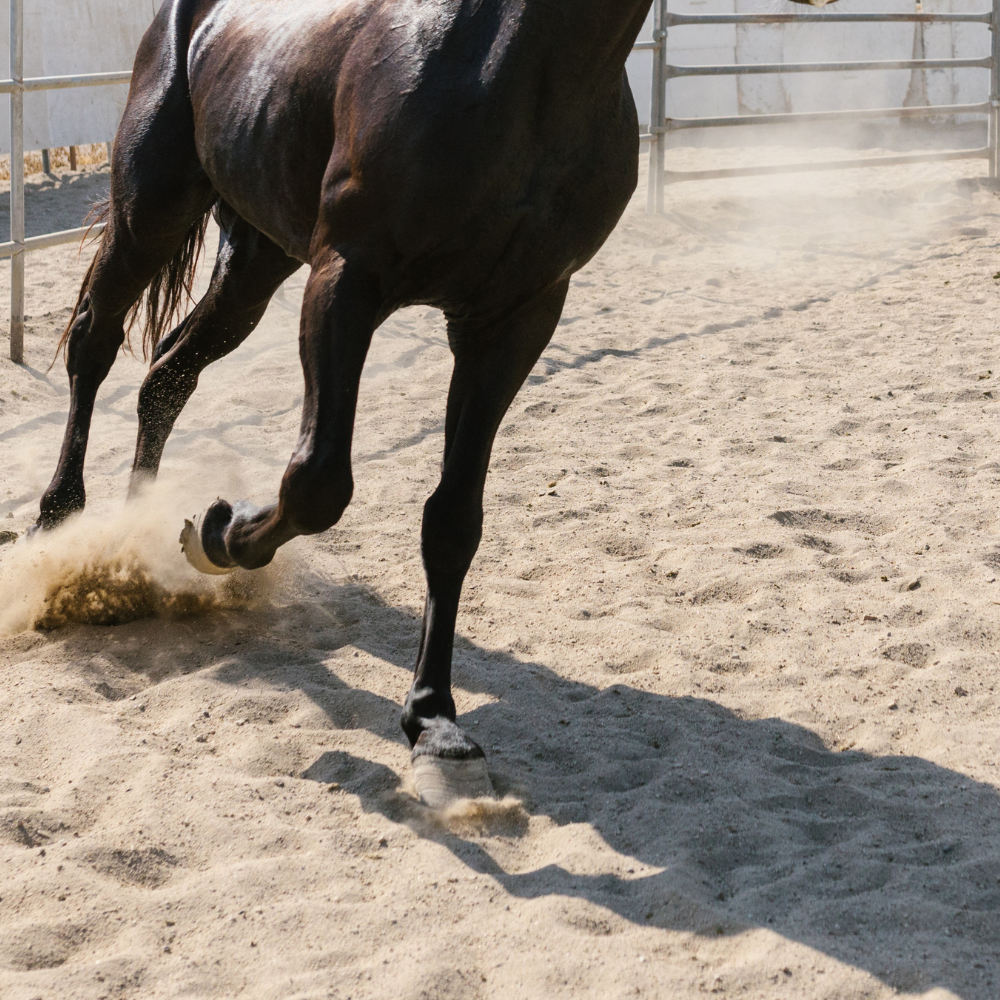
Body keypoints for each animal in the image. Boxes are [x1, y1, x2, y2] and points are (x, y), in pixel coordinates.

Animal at [31, 0, 828, 808]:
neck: (515, 65)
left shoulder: (513, 319)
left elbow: (452, 520)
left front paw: (435, 725)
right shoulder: (346, 280)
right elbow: (318, 481)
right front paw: (222, 533)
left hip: (256, 259)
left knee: (167, 376)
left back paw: (139, 541)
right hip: (151, 214)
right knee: (96, 345)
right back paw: (61, 520)